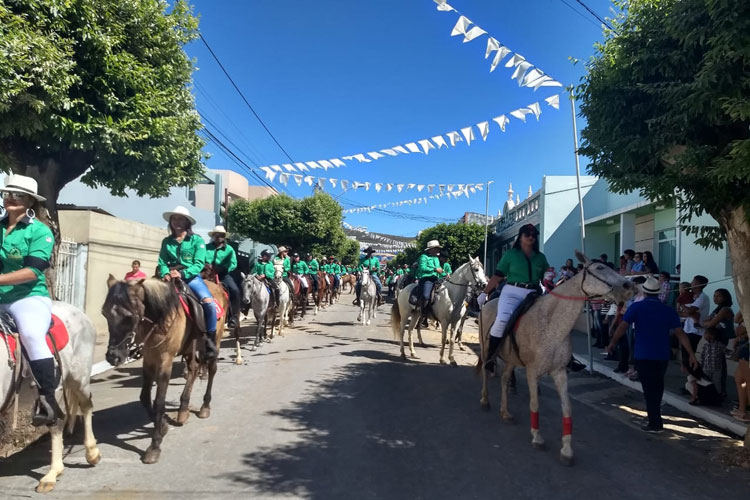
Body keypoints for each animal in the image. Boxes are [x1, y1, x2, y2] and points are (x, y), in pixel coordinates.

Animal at [102, 276, 229, 462]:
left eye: (129, 316)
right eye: (104, 313)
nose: (113, 357)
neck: (159, 318)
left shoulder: (165, 361)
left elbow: (159, 402)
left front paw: (154, 445)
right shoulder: (149, 359)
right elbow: (144, 398)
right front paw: (162, 425)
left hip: (215, 341)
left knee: (211, 370)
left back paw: (205, 407)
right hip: (190, 347)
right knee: (193, 369)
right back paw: (183, 410)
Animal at [476, 252, 636, 466]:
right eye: (600, 268)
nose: (629, 286)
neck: (552, 323)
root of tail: (488, 304)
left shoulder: (560, 372)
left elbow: (567, 409)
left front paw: (566, 450)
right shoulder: (532, 372)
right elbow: (534, 404)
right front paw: (537, 437)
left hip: (510, 360)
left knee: (504, 380)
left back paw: (506, 412)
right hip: (487, 351)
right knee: (486, 372)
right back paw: (485, 401)